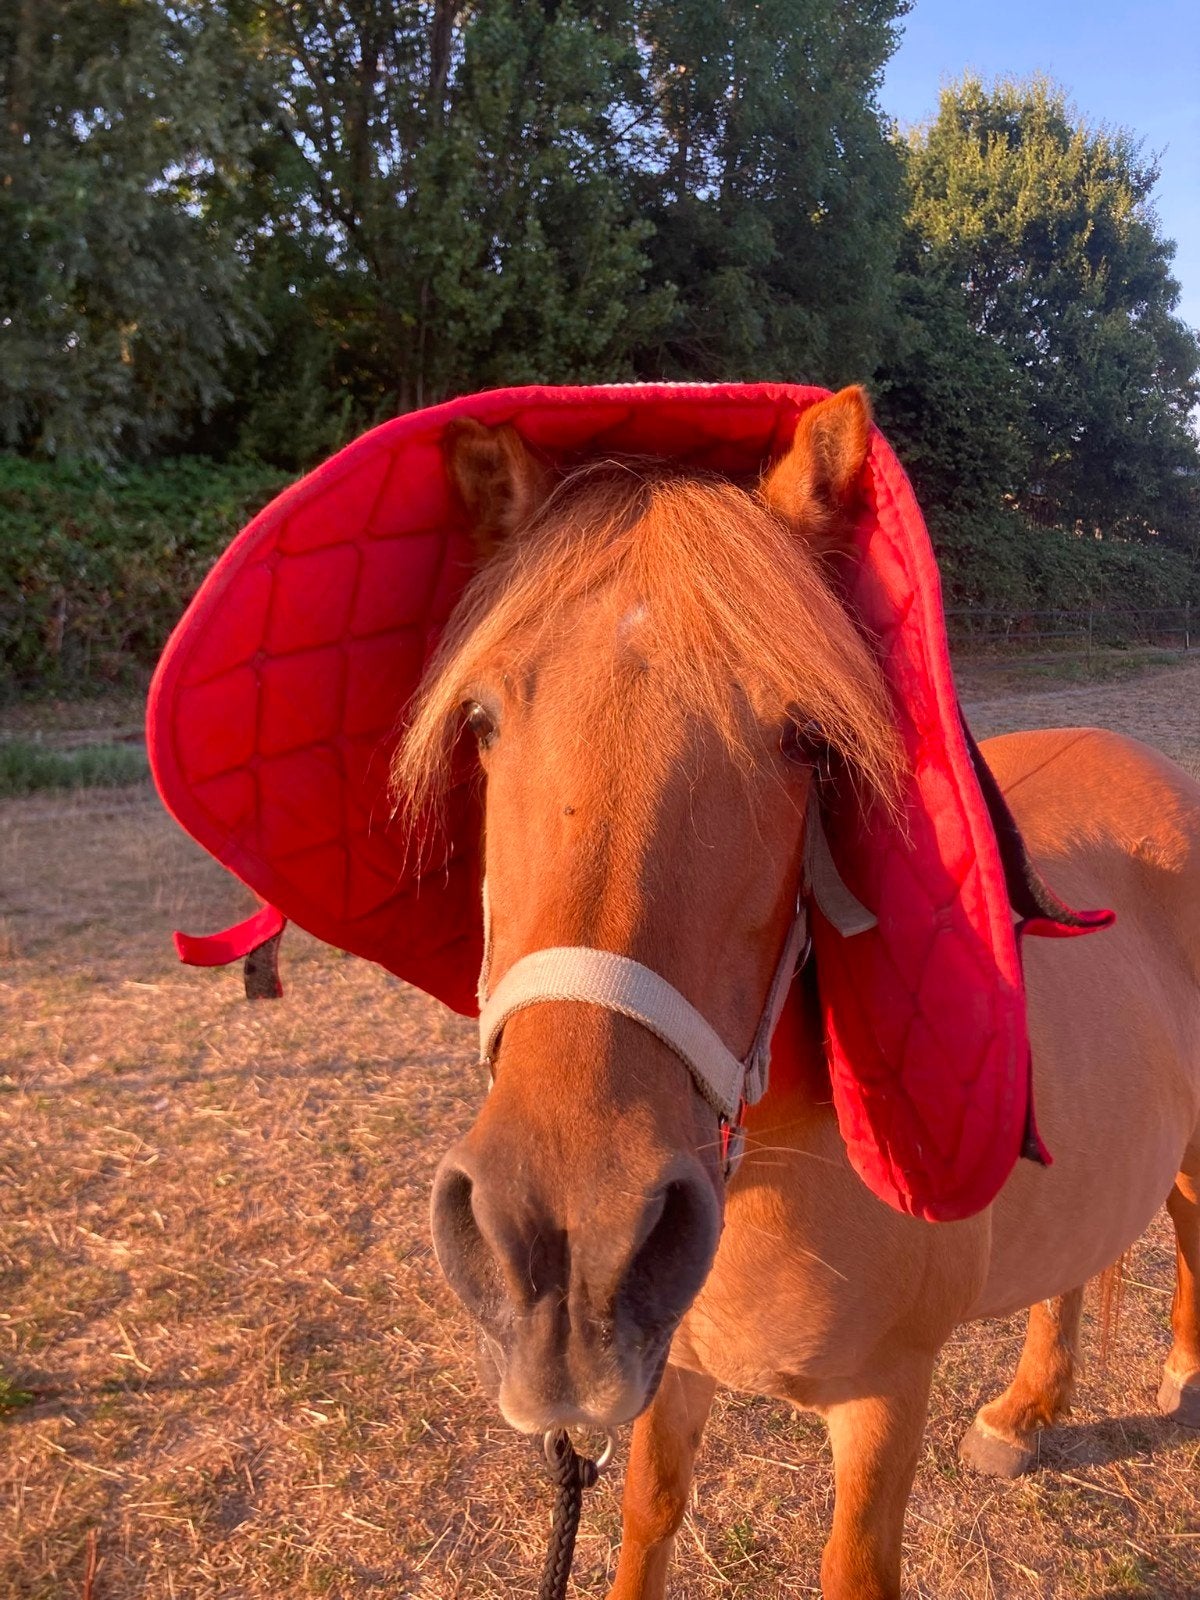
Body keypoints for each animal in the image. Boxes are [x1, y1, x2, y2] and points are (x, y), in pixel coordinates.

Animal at [391, 388, 1200, 1600]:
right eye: (482, 720)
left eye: (805, 738)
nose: (567, 1238)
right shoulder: (666, 1364)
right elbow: (647, 1517)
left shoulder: (883, 1401)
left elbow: (852, 1567)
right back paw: (1026, 1408)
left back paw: (1181, 1372)